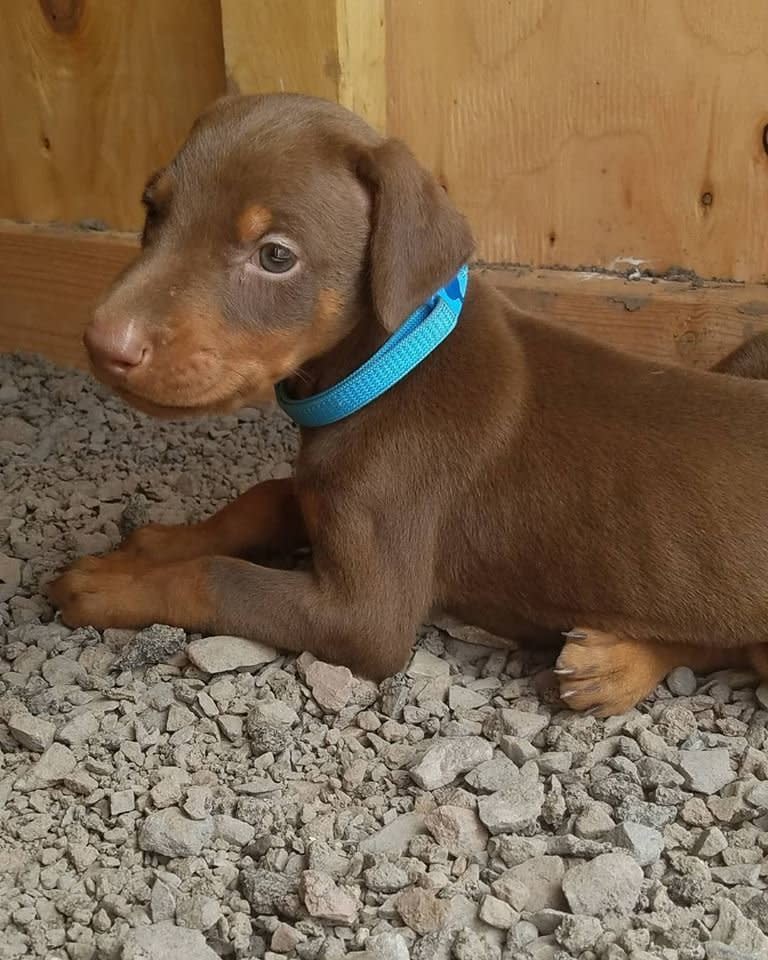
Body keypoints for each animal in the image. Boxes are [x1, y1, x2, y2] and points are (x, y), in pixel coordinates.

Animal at [48, 94, 768, 716]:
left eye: (276, 256)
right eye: (152, 209)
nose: (103, 342)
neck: (388, 367)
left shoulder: (364, 617)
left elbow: (217, 578)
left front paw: (111, 584)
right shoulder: (324, 493)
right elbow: (265, 496)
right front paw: (160, 542)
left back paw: (613, 663)